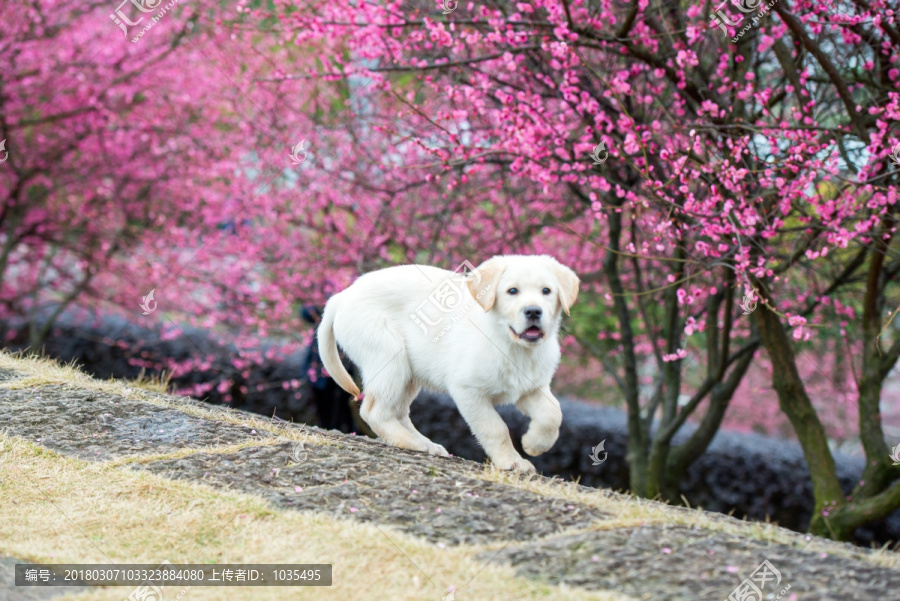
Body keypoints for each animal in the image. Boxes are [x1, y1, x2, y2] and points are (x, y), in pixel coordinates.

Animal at [320, 254, 580, 474]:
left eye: (546, 291)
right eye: (512, 291)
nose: (533, 311)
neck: (513, 346)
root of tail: (343, 295)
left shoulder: (531, 388)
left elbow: (553, 413)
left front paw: (534, 444)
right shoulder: (468, 391)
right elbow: (495, 428)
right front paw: (511, 461)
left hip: (408, 373)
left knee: (398, 411)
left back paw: (426, 443)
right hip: (389, 357)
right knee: (374, 411)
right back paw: (412, 443)